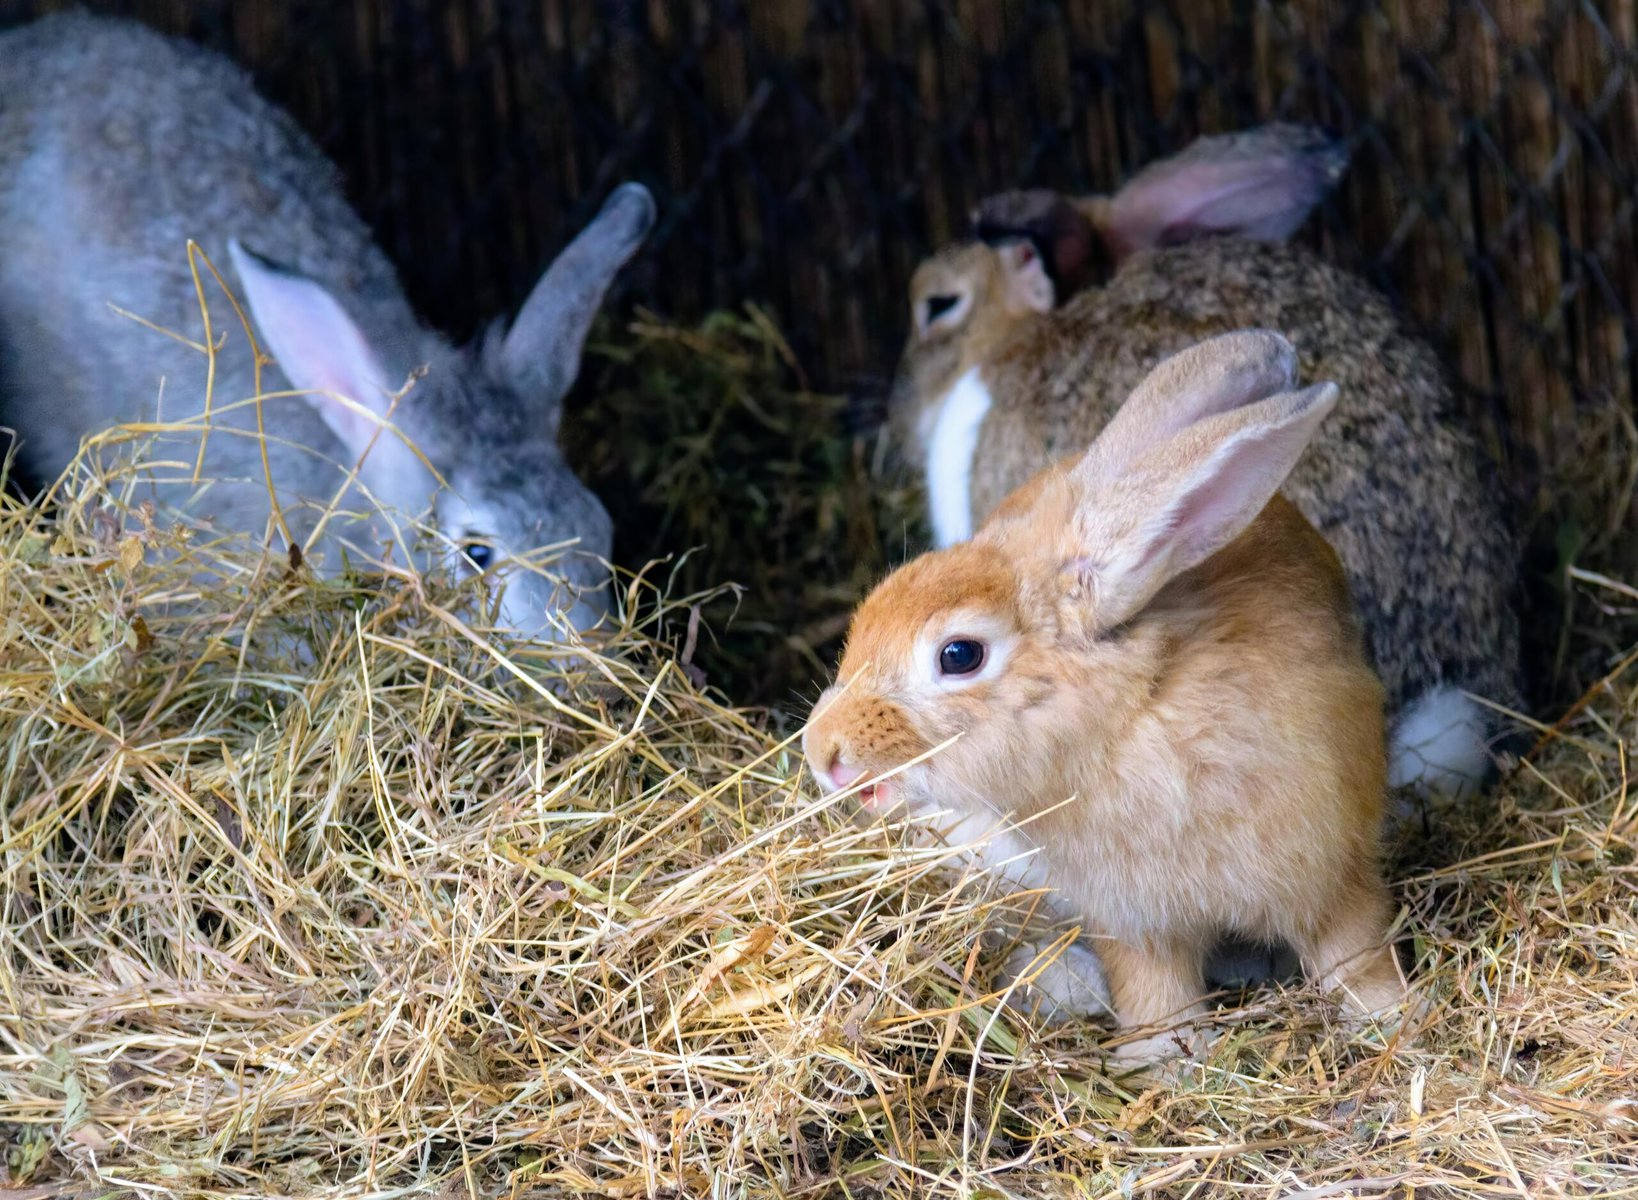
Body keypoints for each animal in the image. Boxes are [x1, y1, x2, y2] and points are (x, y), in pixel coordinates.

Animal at [808, 330, 1407, 1062]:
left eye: (959, 655)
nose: (822, 751)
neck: (1131, 716)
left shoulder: (1333, 872)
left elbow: (1354, 951)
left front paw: (1389, 1020)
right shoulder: (1134, 920)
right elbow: (1153, 989)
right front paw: (1165, 1059)